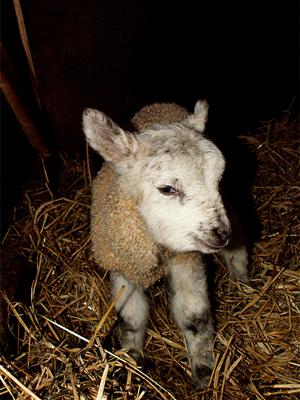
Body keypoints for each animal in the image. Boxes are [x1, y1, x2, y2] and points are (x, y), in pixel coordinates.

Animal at [82, 99, 248, 388]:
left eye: (217, 179)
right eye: (167, 189)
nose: (220, 234)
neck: (155, 247)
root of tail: (160, 104)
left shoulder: (186, 259)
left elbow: (194, 316)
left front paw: (204, 371)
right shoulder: (123, 265)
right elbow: (131, 317)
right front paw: (132, 361)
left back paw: (242, 274)